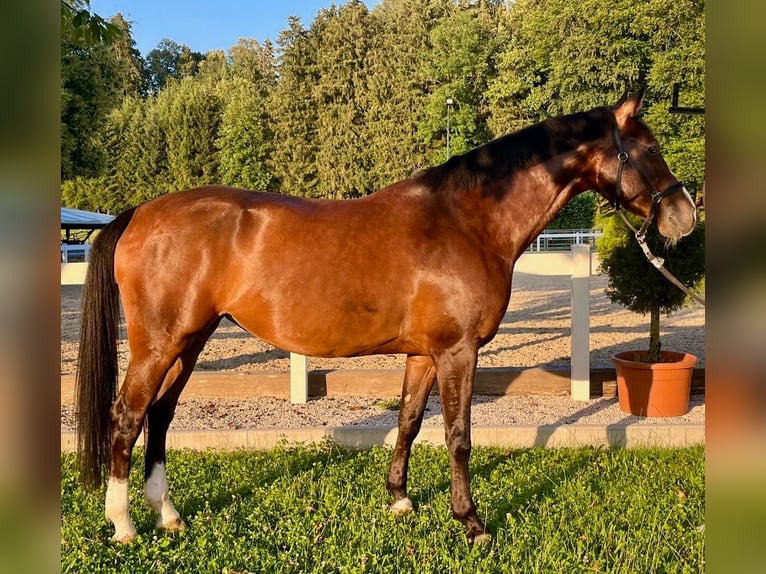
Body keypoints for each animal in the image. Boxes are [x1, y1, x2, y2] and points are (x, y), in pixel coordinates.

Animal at [76, 89, 696, 544]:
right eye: (648, 149)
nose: (684, 215)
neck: (466, 221)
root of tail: (138, 214)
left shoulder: (424, 354)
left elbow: (409, 422)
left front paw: (400, 499)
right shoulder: (457, 351)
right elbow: (458, 436)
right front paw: (472, 523)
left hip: (191, 339)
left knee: (160, 417)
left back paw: (168, 516)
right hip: (160, 343)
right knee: (128, 417)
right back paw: (124, 525)